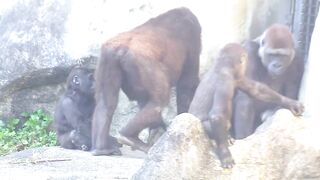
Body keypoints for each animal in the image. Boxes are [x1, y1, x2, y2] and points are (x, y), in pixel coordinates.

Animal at [92, 7, 200, 155]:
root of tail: (120, 48)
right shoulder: (192, 33)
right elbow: (187, 86)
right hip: (140, 60)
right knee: (158, 103)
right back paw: (129, 137)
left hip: (107, 57)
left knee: (106, 104)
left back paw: (103, 148)